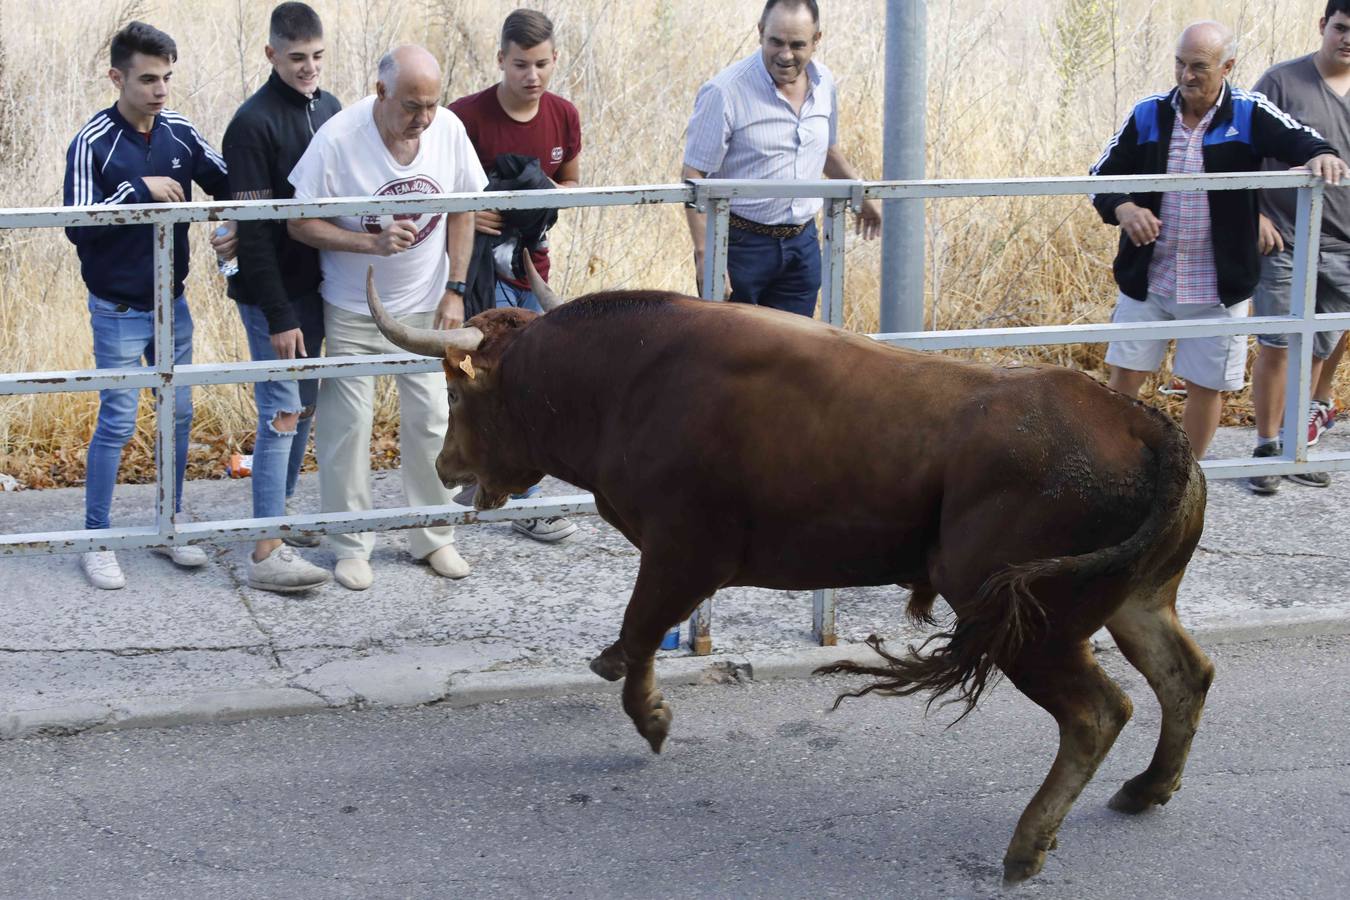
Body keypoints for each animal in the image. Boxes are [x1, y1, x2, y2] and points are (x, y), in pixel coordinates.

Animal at [367, 264, 1215, 885]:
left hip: (1029, 627)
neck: (626, 380)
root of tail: (1145, 424)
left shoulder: (682, 554)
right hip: (1133, 602)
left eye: (459, 388)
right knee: (1185, 675)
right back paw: (1147, 789)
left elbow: (639, 635)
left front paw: (652, 717)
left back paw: (1026, 845)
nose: (446, 466)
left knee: (1099, 713)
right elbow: (635, 638)